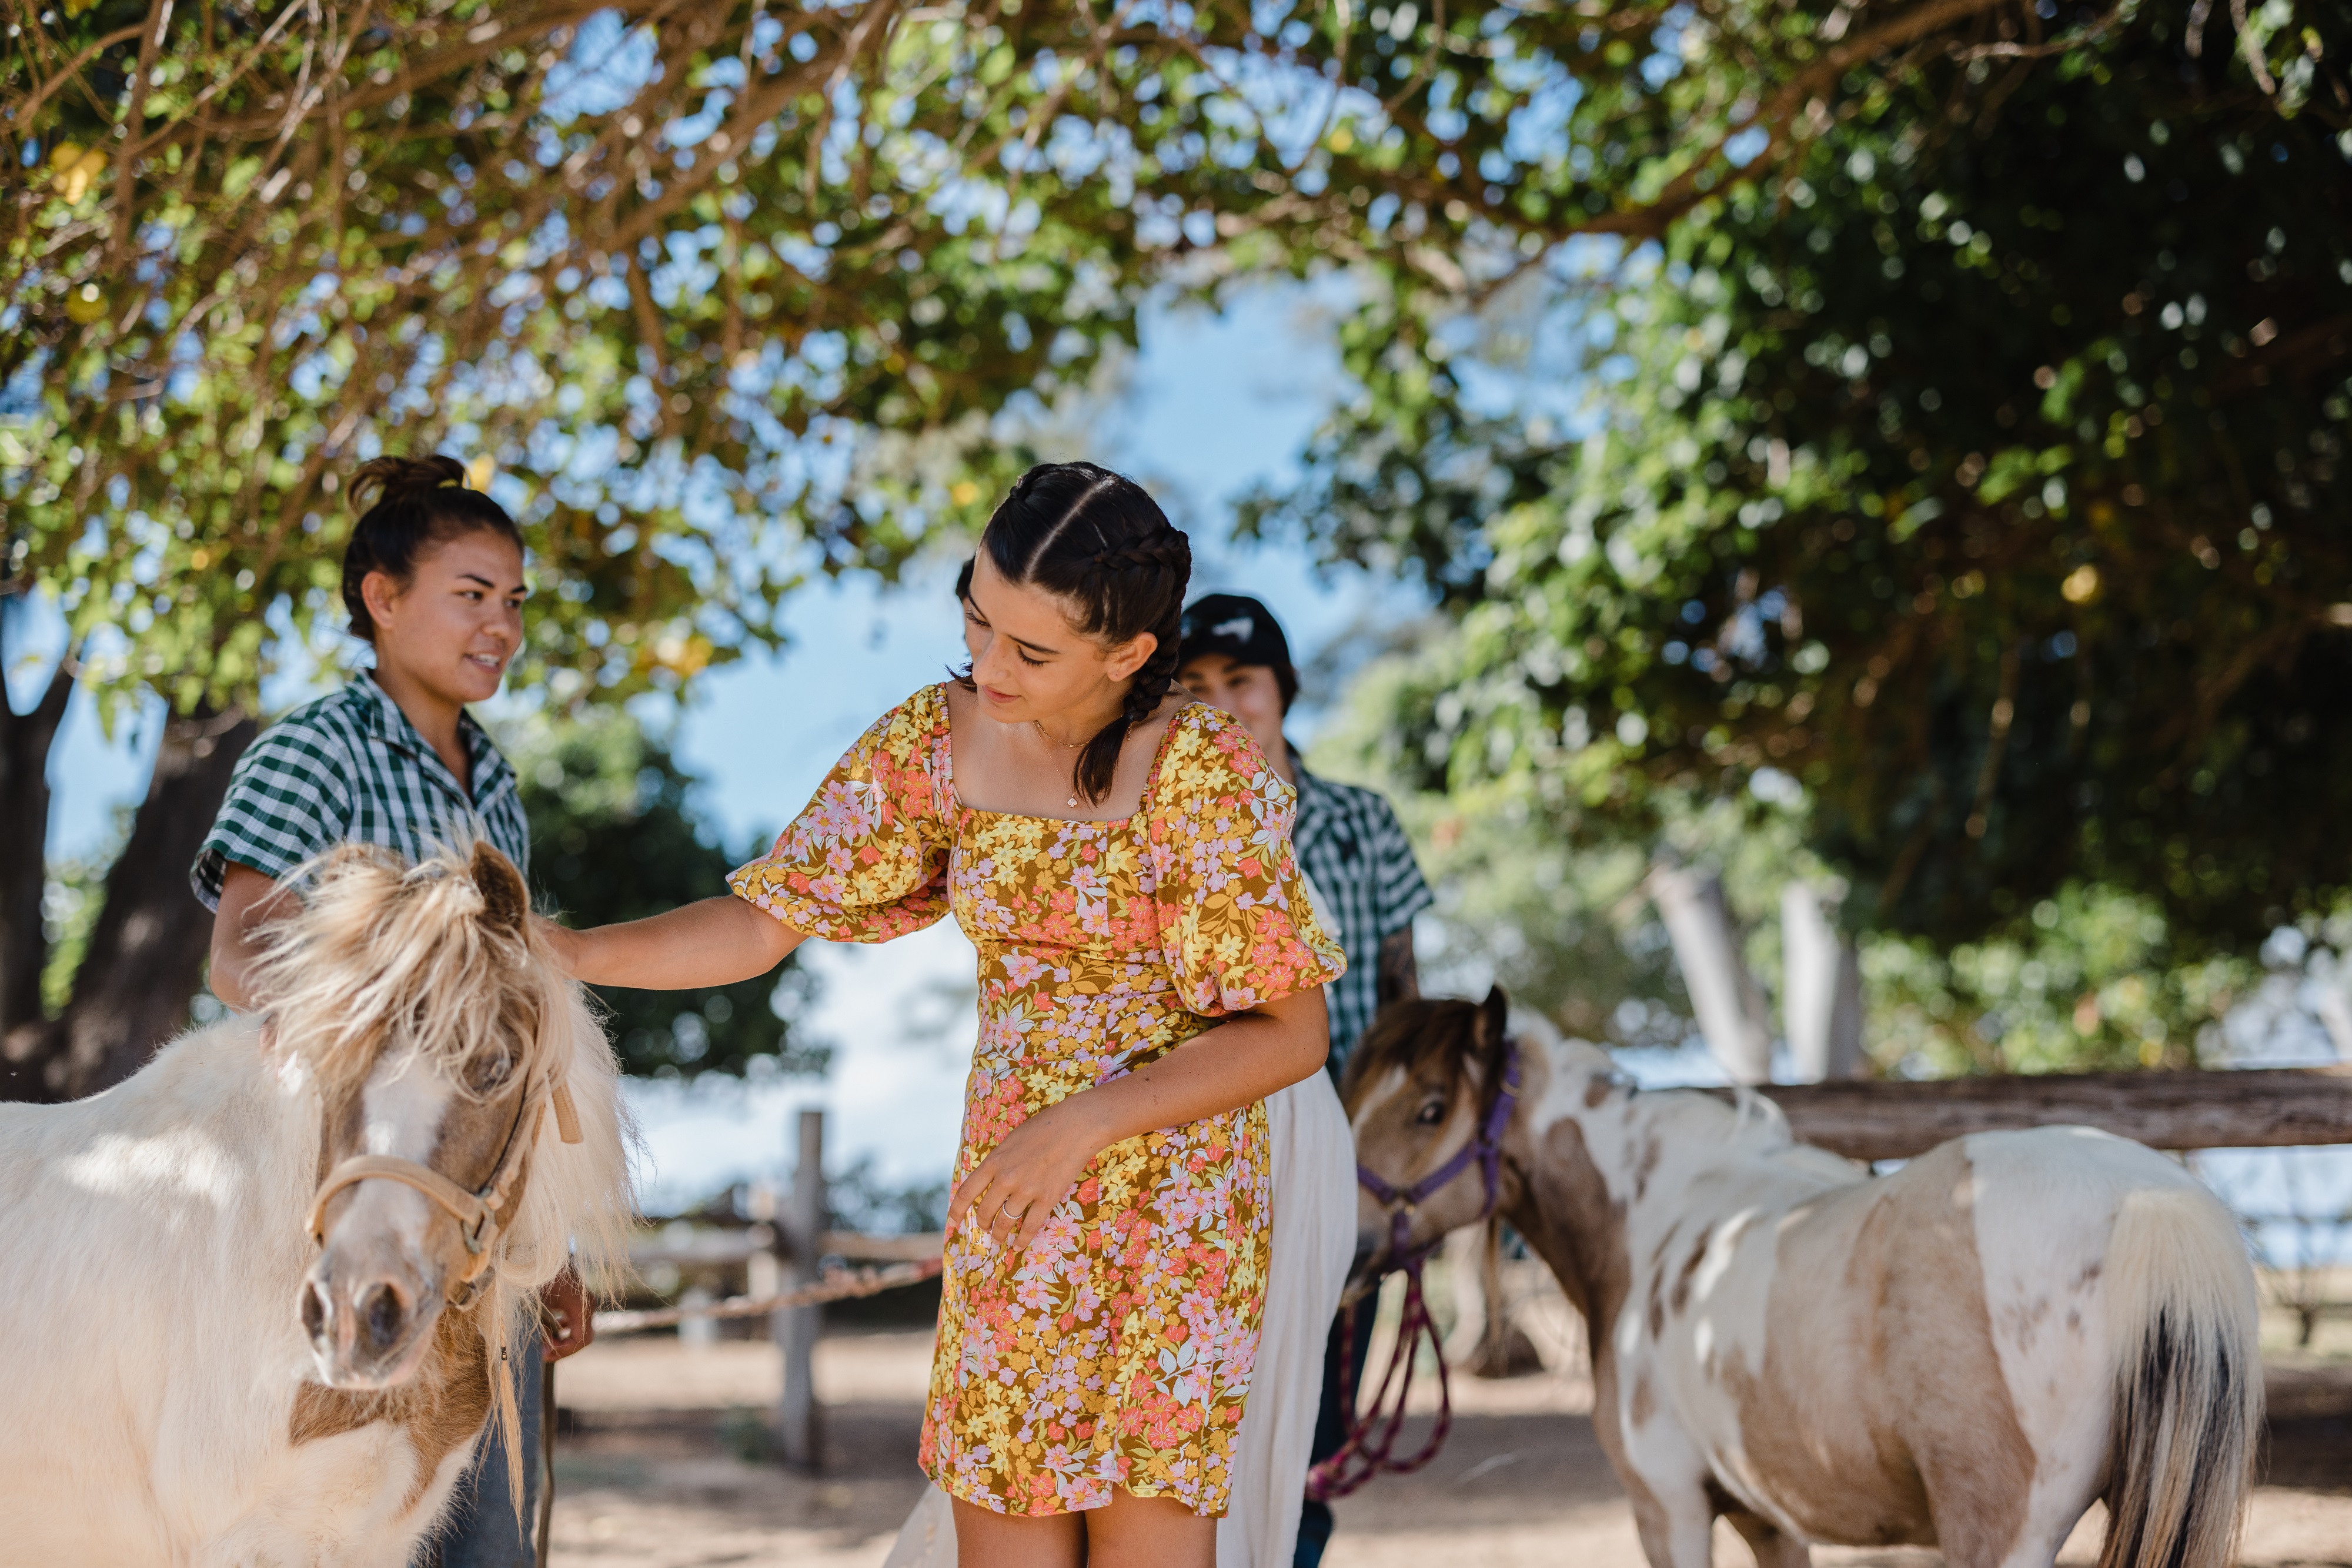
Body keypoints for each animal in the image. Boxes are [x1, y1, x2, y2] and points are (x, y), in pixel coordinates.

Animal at [1355, 992, 2267, 1568]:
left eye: (1429, 1109)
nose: (1352, 1237)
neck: (1650, 1225)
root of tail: (2148, 1199)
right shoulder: (1768, 1519)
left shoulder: (1667, 1507)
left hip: (1999, 1533)